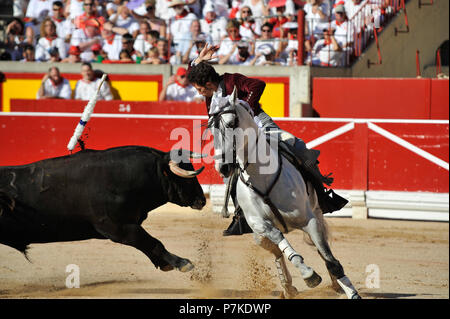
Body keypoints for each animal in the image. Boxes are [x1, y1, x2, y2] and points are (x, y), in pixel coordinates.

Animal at [0, 146, 207, 274]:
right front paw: (182, 263)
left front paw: (165, 264)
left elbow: (150, 244)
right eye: (184, 177)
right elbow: (154, 242)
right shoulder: (118, 228)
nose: (202, 200)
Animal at [208, 88, 362, 300]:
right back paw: (288, 287)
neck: (261, 176)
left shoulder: (309, 220)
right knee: (277, 251)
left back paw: (334, 284)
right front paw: (308, 274)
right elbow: (281, 241)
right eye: (210, 129)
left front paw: (351, 292)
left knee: (324, 252)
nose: (223, 167)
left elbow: (329, 259)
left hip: (317, 215)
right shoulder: (260, 224)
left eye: (232, 124)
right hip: (258, 237)